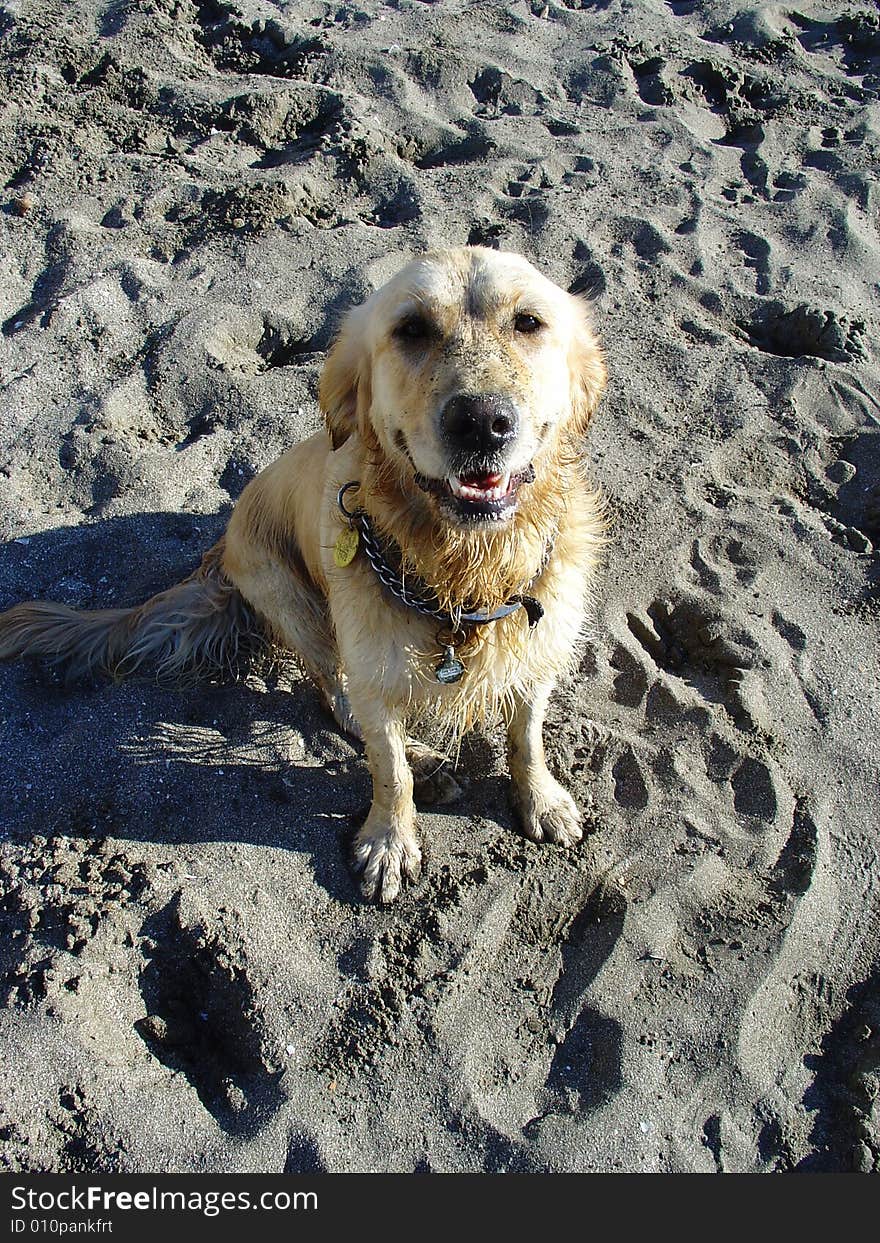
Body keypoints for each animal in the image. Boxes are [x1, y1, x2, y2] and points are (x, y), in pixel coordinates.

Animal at [0, 244, 604, 904]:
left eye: (528, 322)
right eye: (411, 329)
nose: (481, 421)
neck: (467, 573)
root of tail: (220, 550)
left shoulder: (540, 649)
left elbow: (527, 736)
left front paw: (541, 799)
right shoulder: (372, 669)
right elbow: (386, 764)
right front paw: (390, 840)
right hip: (299, 606)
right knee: (337, 699)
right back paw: (426, 762)